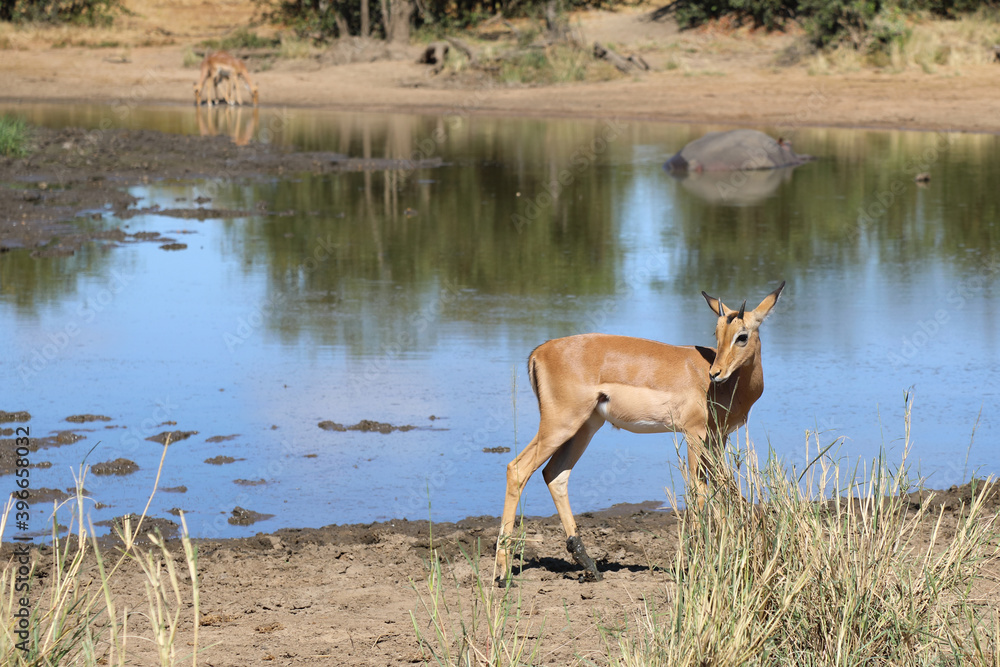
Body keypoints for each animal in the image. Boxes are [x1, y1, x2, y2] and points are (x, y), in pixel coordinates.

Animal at [497, 282, 784, 582]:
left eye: (742, 336)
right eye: (717, 334)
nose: (716, 372)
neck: (730, 387)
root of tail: (539, 352)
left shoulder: (719, 438)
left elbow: (720, 486)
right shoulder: (694, 434)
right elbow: (698, 489)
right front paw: (700, 560)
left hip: (585, 427)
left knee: (555, 474)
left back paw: (588, 565)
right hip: (560, 424)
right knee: (517, 469)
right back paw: (503, 572)